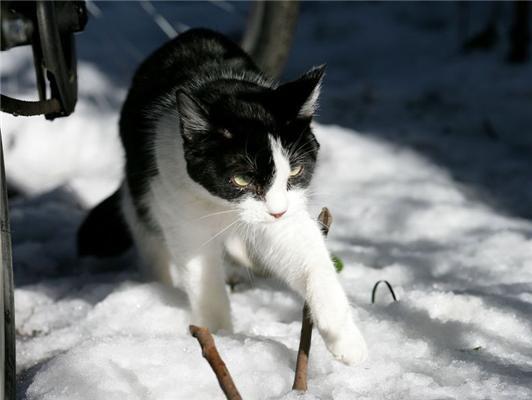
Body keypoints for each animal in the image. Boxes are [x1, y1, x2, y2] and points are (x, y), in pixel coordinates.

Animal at [79, 28, 368, 366]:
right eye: (241, 178)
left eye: (295, 170)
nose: (276, 212)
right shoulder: (177, 207)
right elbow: (203, 278)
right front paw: (221, 339)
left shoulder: (288, 212)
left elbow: (309, 257)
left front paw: (346, 340)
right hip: (139, 186)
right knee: (147, 234)